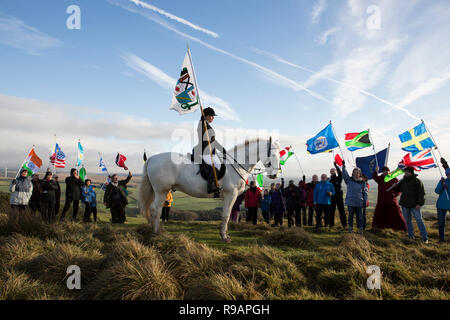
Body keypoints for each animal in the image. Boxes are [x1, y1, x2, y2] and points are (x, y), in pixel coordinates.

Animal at [140, 139, 282, 241]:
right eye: (272, 154)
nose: (275, 175)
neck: (236, 164)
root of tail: (152, 158)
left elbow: (225, 214)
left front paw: (224, 234)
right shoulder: (231, 195)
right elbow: (226, 215)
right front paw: (224, 237)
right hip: (161, 191)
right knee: (156, 209)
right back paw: (157, 233)